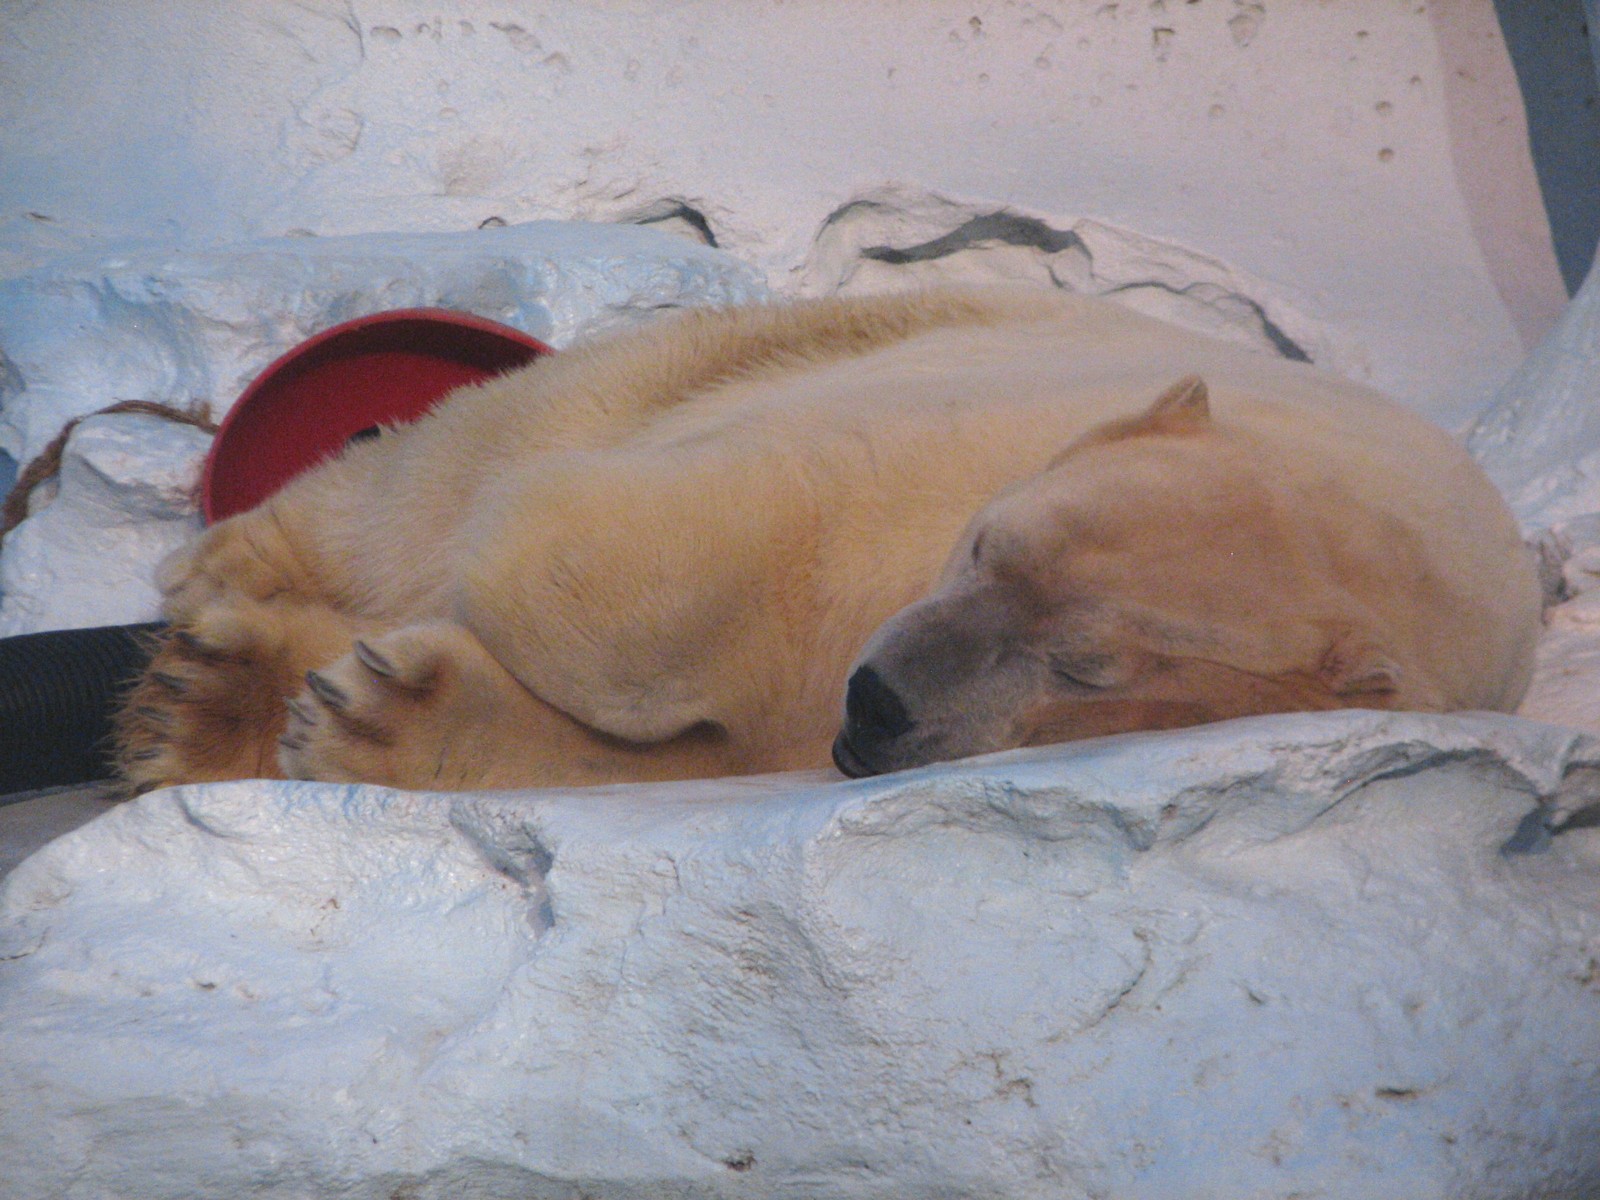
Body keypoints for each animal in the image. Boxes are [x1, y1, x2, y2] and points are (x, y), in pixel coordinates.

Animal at [115, 286, 1541, 793]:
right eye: (985, 544)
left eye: (1087, 668)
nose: (882, 700)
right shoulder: (960, 433)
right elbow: (687, 540)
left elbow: (705, 753)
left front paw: (378, 713)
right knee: (468, 451)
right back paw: (221, 606)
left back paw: (213, 698)